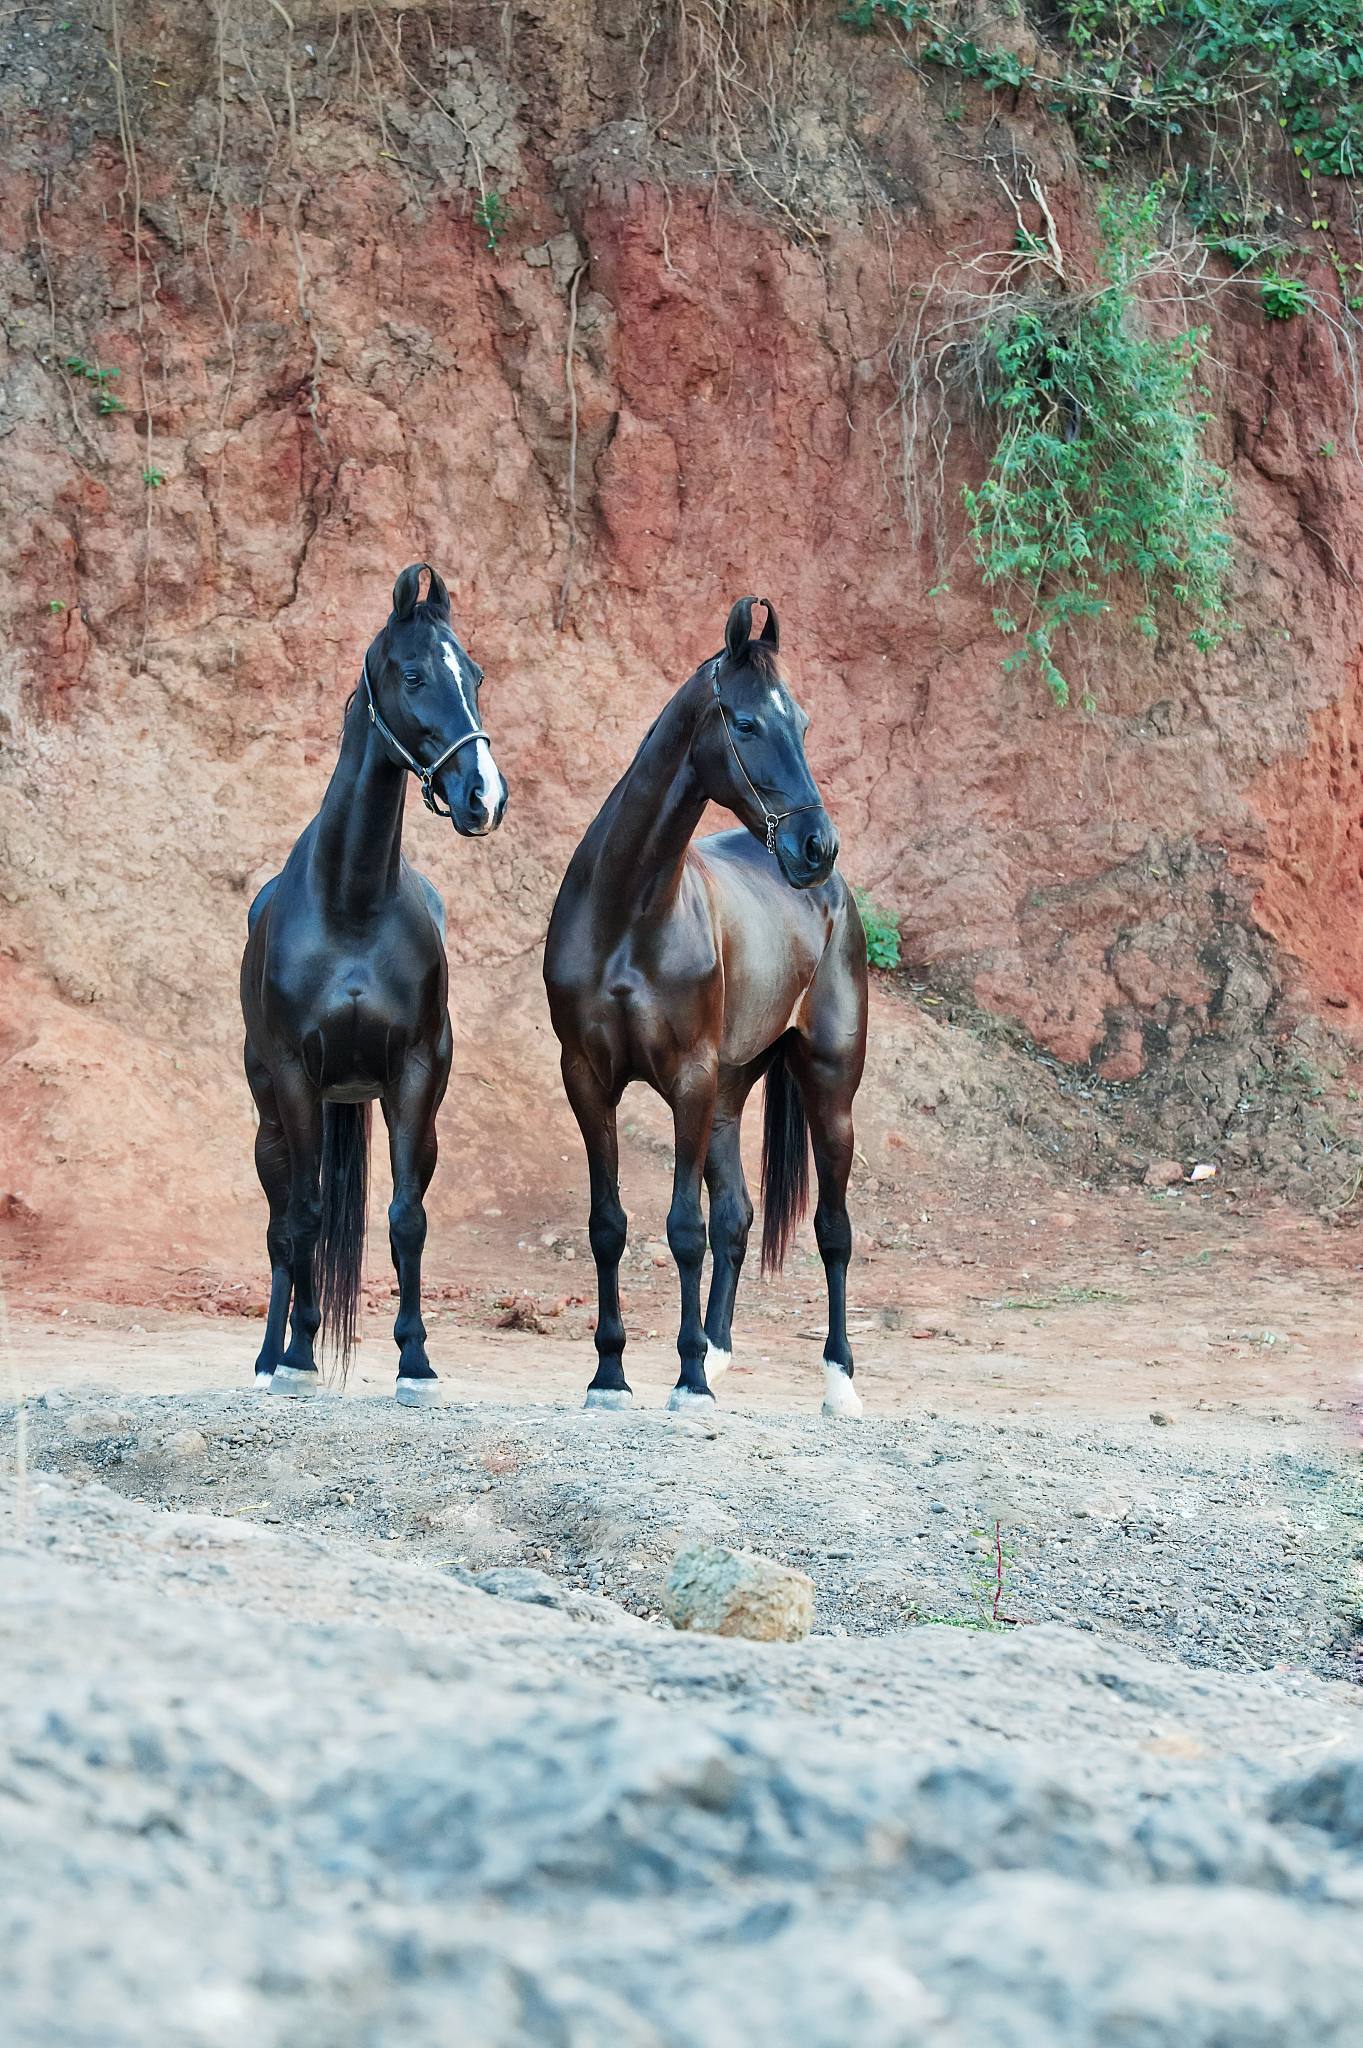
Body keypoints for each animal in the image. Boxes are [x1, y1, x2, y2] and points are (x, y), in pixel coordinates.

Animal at [240, 563, 508, 1405]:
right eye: (413, 674)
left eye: (474, 675)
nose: (484, 796)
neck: (351, 904)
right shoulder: (297, 1076)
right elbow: (305, 1219)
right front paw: (295, 1358)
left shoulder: (414, 1076)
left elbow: (405, 1219)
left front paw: (415, 1362)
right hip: (270, 1120)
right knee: (281, 1229)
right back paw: (269, 1355)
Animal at [544, 596, 868, 1418]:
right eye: (746, 723)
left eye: (803, 722)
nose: (816, 844)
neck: (628, 916)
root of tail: (833, 894)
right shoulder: (588, 1079)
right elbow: (610, 1226)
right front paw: (610, 1375)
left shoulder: (686, 1080)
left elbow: (682, 1229)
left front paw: (685, 1379)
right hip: (727, 1093)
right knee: (738, 1218)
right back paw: (719, 1352)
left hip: (827, 1089)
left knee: (832, 1229)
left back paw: (837, 1381)